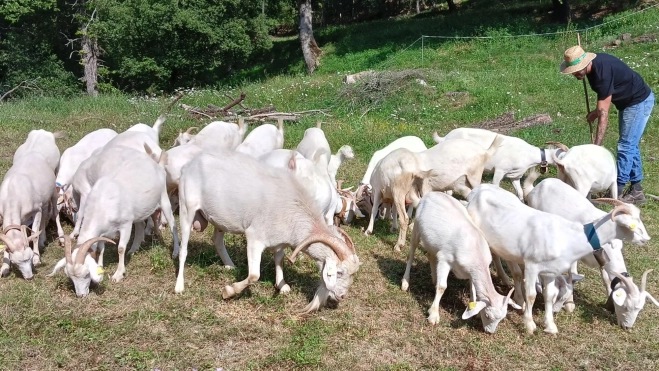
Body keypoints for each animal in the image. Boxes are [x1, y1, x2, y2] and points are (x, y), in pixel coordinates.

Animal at [175, 151, 360, 314]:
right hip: (186, 207)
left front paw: (282, 285)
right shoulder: (254, 237)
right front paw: (228, 291)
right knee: (184, 249)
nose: (342, 296)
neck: (292, 207)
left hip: (220, 218)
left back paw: (229, 265)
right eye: (339, 272)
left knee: (217, 239)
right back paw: (179, 286)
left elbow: (279, 259)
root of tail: (190, 164)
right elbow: (254, 275)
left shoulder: (280, 240)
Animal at [400, 193, 524, 332]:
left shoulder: (471, 271)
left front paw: (472, 309)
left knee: (430, 255)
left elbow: (472, 288)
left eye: (502, 318)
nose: (489, 332)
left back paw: (434, 278)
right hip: (416, 229)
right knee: (411, 254)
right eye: (488, 315)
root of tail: (429, 195)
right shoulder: (445, 259)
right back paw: (405, 282)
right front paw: (433, 315)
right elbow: (442, 287)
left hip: (432, 242)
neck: (475, 249)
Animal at [434, 128, 564, 201]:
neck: (528, 154)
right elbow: (496, 185)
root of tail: (444, 138)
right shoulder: (500, 169)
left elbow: (520, 193)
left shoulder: (515, 175)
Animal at [466, 185, 652, 334]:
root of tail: (478, 189)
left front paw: (550, 326)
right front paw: (530, 325)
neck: (568, 237)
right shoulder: (532, 265)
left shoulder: (550, 271)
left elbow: (549, 295)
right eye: (633, 225)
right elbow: (532, 295)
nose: (647, 239)